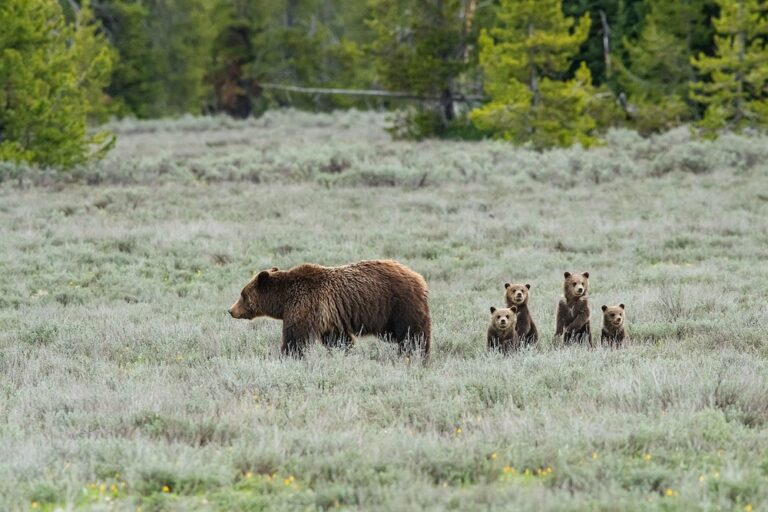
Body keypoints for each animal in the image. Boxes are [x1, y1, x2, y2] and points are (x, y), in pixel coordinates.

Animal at [228, 258, 432, 358]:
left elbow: (296, 336)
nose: (230, 310)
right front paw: (344, 352)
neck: (283, 299)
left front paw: (287, 355)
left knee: (413, 333)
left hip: (399, 304)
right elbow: (338, 339)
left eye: (242, 294)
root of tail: (418, 276)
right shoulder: (329, 317)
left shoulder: (305, 303)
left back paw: (416, 354)